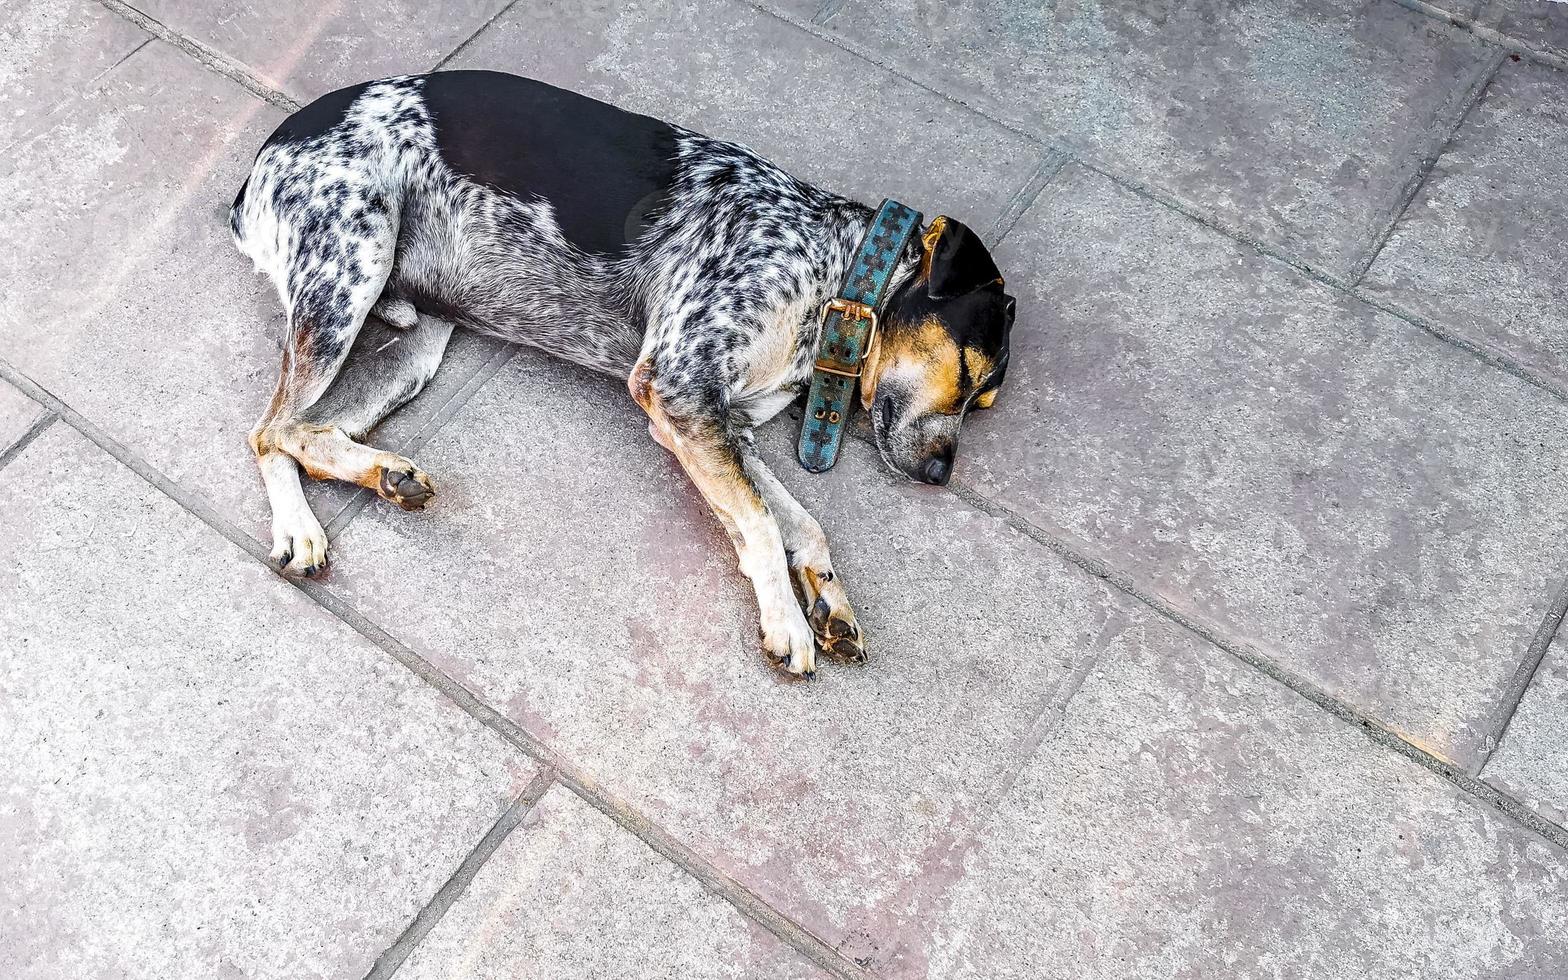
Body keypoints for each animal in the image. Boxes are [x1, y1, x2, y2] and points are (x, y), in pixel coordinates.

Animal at [228, 72, 1016, 677]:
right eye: (969, 371)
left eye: (987, 400)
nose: (943, 474)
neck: (832, 279)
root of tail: (261, 164)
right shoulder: (678, 392)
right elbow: (762, 523)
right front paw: (786, 620)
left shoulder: (721, 426)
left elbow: (800, 522)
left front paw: (826, 597)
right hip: (349, 277)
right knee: (268, 430)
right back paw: (301, 526)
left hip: (414, 341)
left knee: (307, 430)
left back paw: (386, 475)